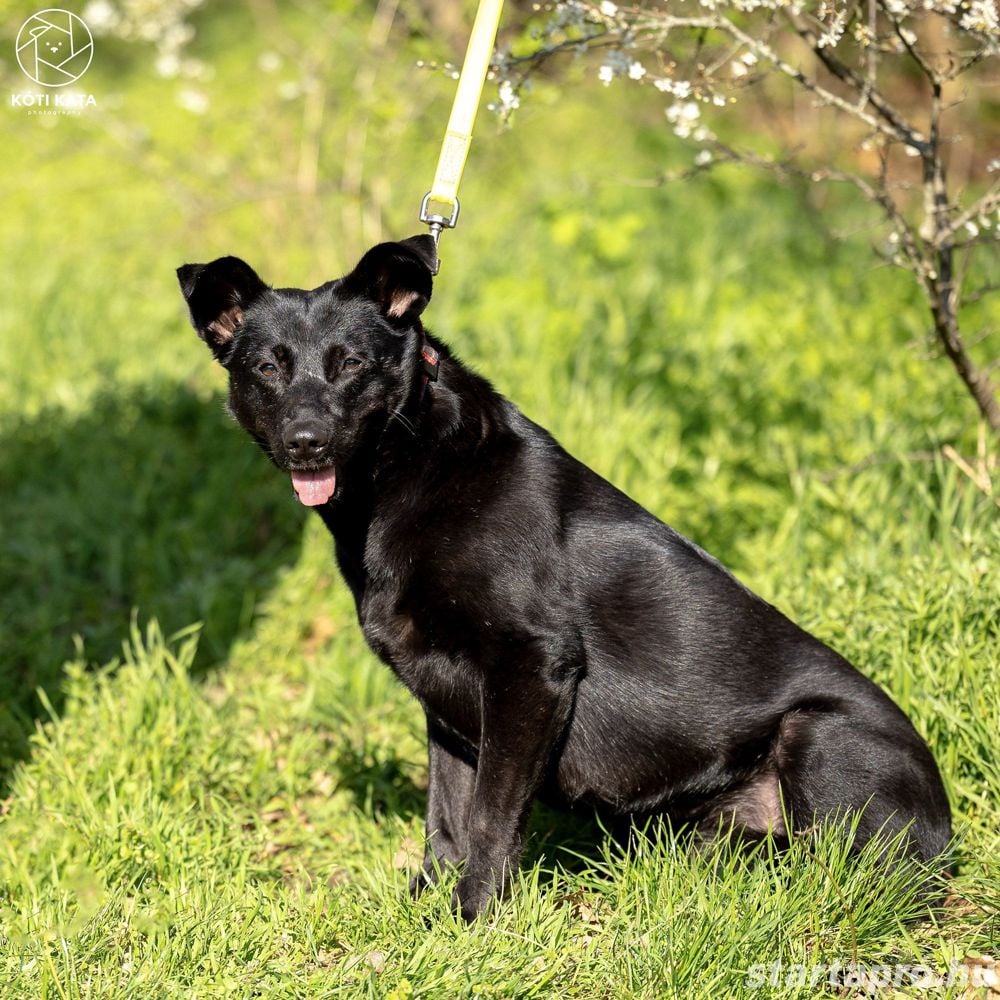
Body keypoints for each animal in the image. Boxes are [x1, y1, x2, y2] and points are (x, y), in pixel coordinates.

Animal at [176, 236, 948, 920]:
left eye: (351, 364)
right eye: (268, 368)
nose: (306, 443)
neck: (409, 465)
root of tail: (946, 832)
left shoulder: (531, 669)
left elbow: (489, 816)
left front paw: (473, 920)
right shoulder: (447, 703)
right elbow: (446, 819)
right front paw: (426, 913)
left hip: (816, 735)